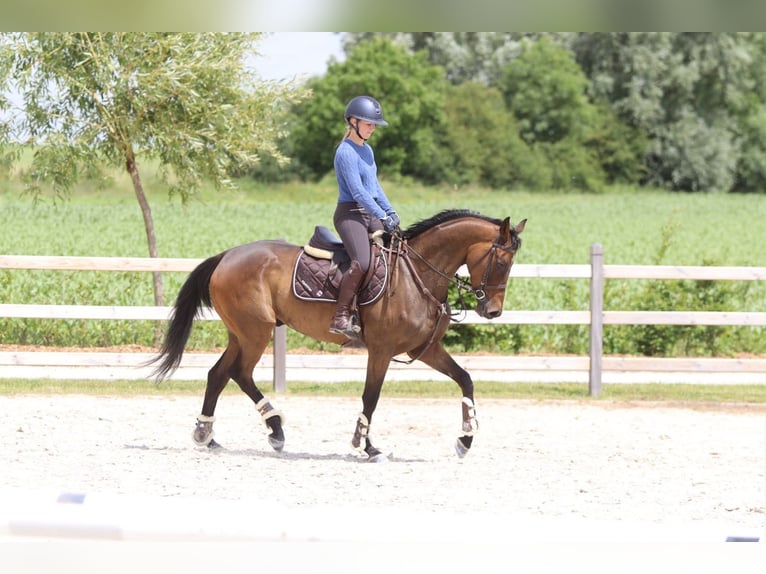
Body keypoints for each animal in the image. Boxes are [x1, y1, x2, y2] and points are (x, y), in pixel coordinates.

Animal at [149, 209, 526, 462]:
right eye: (501, 263)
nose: (493, 311)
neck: (416, 274)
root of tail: (227, 255)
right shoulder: (381, 350)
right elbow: (371, 397)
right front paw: (367, 445)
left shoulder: (427, 348)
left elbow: (466, 380)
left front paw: (465, 440)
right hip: (255, 332)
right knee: (238, 373)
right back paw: (271, 429)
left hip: (241, 334)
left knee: (219, 374)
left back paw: (209, 433)